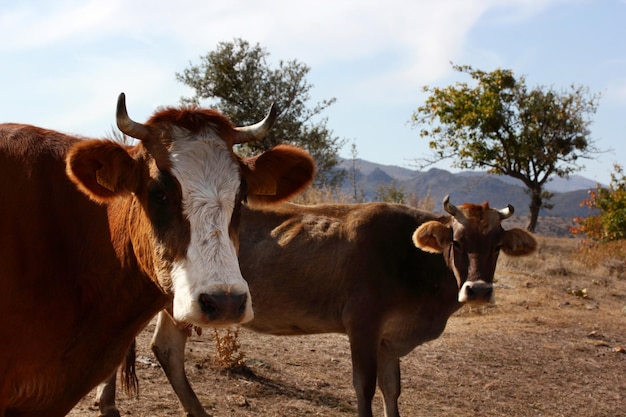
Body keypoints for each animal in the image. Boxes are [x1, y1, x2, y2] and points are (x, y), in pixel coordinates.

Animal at [95, 196, 532, 416]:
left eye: (497, 245)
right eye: (456, 241)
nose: (478, 290)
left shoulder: (390, 340)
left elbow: (392, 390)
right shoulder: (363, 325)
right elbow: (364, 386)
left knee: (165, 349)